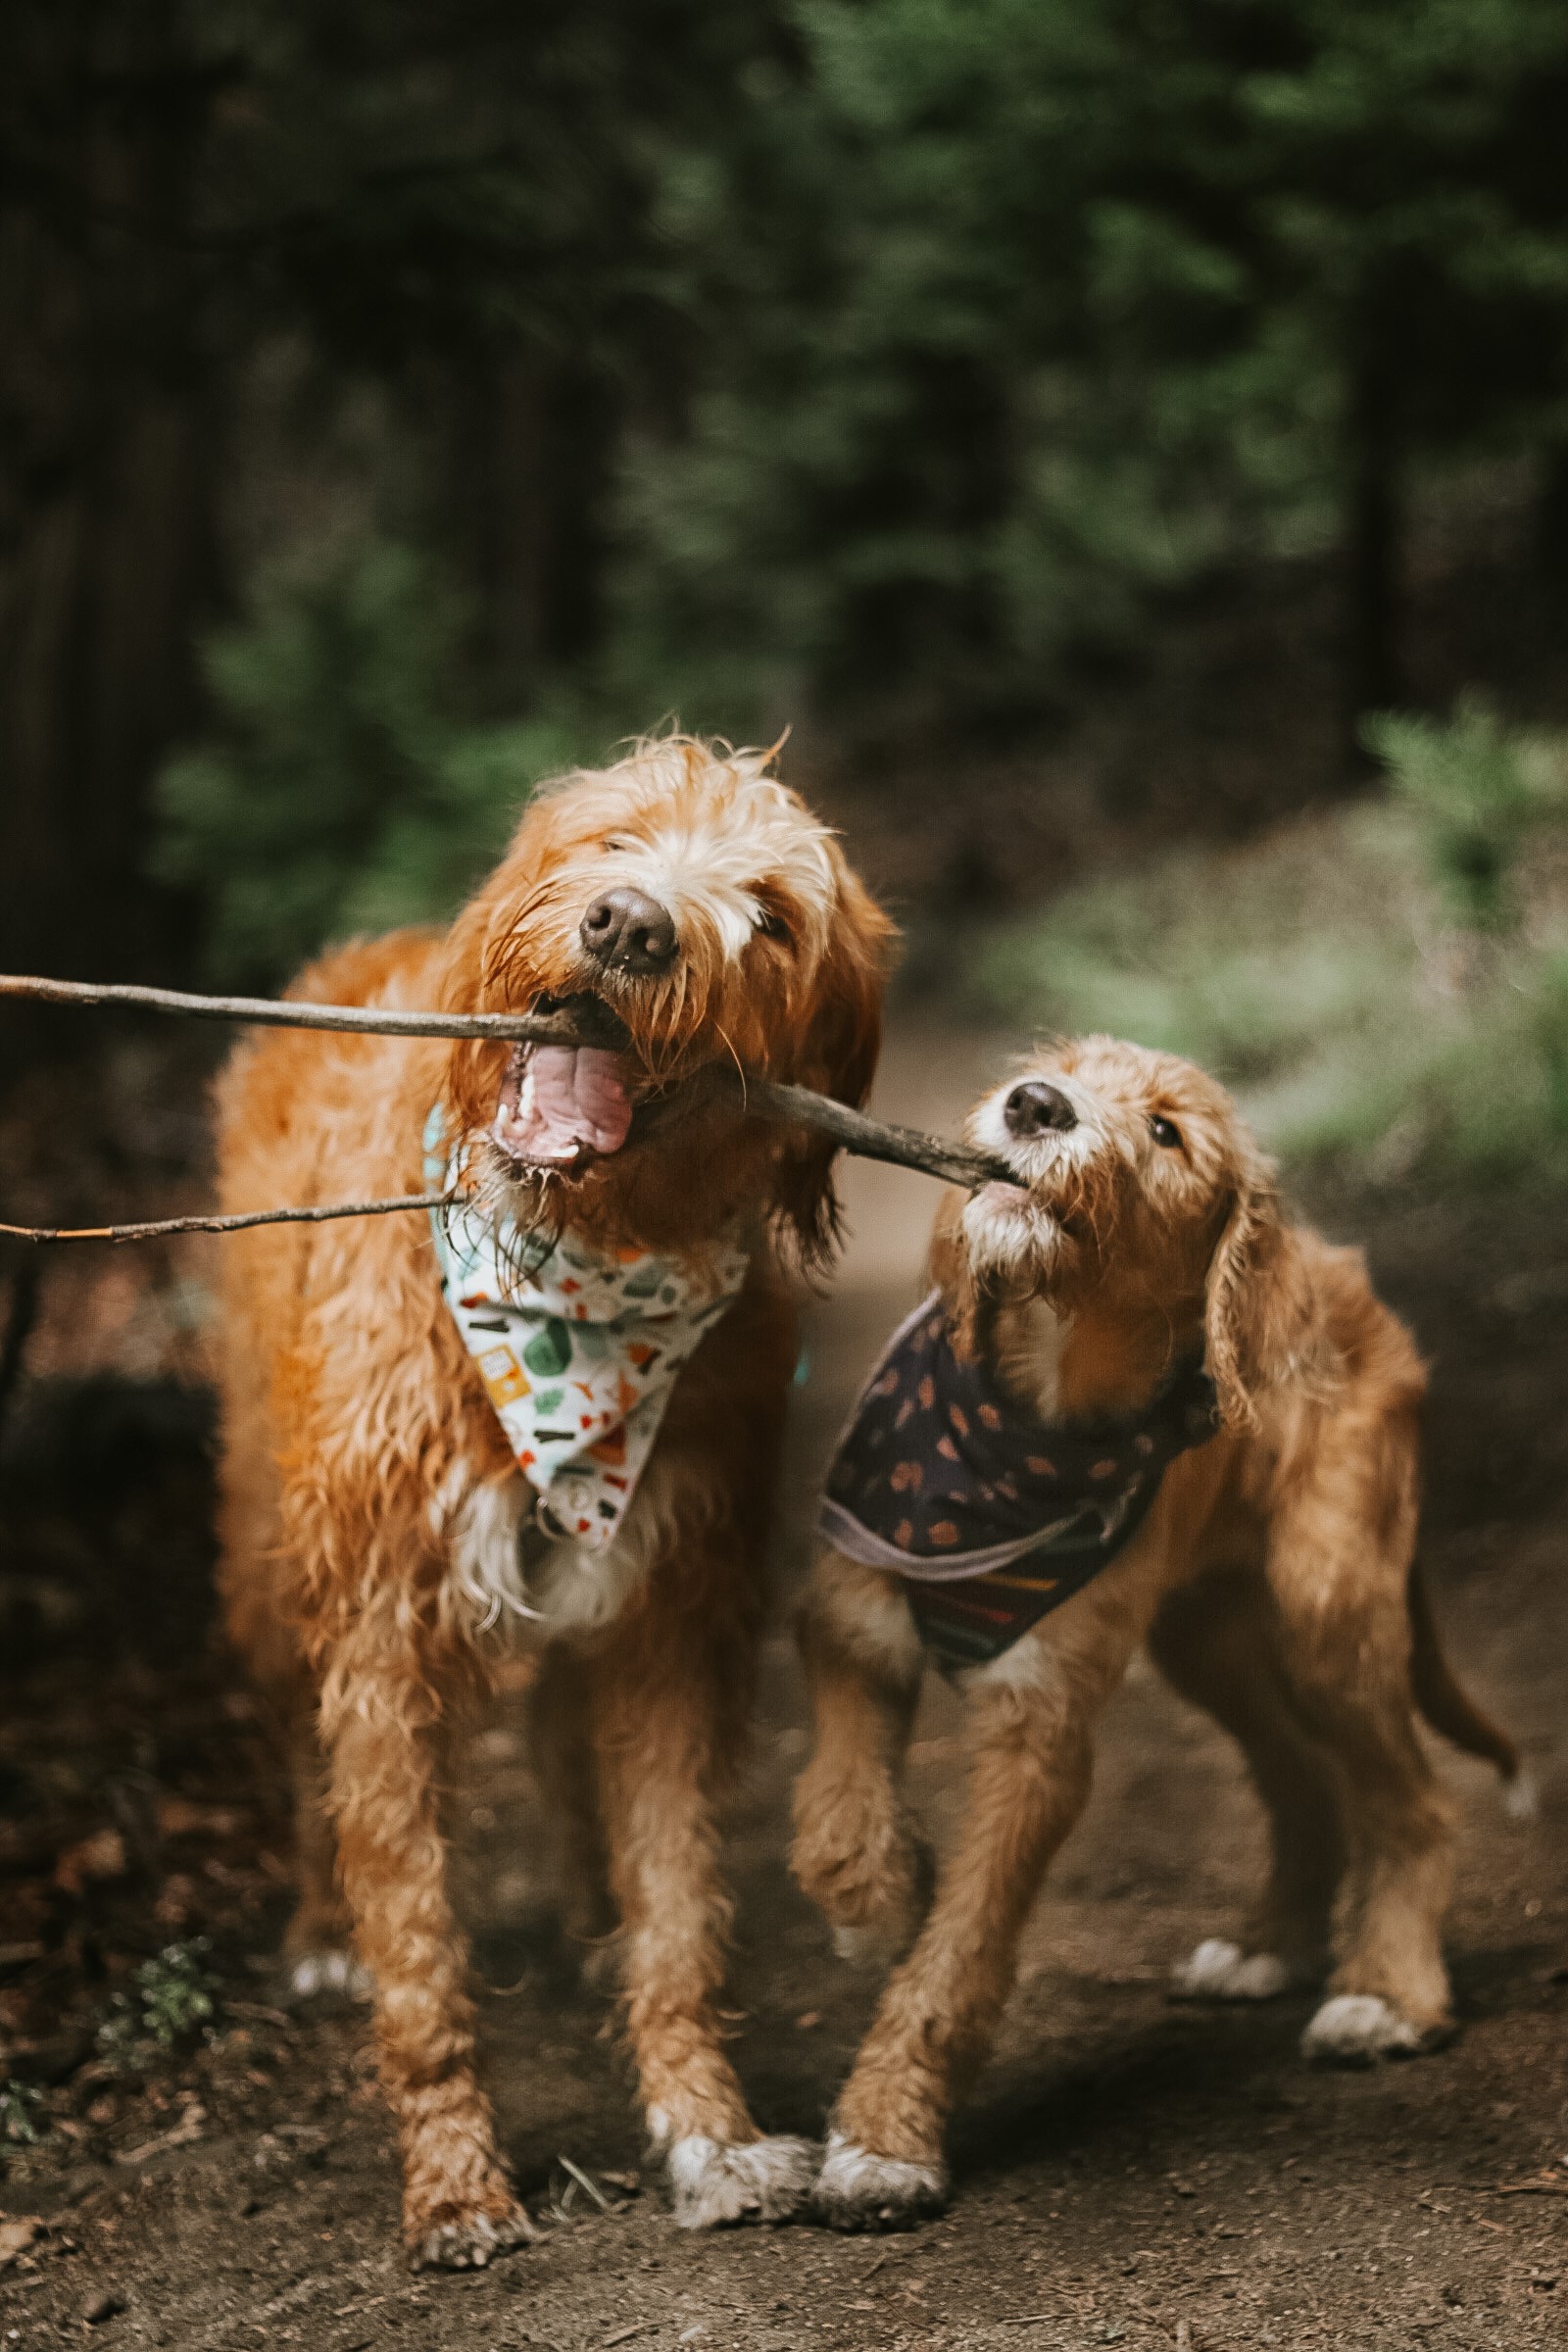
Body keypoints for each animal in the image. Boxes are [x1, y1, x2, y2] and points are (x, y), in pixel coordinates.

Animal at [217, 729, 893, 2258]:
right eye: (614, 839)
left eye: (772, 916)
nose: (631, 927)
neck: (572, 1279)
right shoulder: (379, 1629)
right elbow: (419, 1948)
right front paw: (456, 2179)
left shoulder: (670, 1603)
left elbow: (679, 1905)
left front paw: (708, 2131)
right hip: (269, 1547)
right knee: (297, 1754)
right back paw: (318, 1936)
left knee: (569, 1747)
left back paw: (590, 1908)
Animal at [789, 1039, 1523, 2230]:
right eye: (1055, 1067)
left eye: (1168, 1134)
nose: (1034, 1106)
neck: (1026, 1416)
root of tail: (1342, 1279)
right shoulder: (854, 1621)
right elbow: (836, 1805)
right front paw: (870, 1903)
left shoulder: (1041, 1730)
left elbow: (962, 1949)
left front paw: (884, 2139)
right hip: (1205, 1634)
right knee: (1301, 1779)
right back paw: (1269, 1947)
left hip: (1325, 1603)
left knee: (1408, 1800)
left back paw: (1389, 1996)